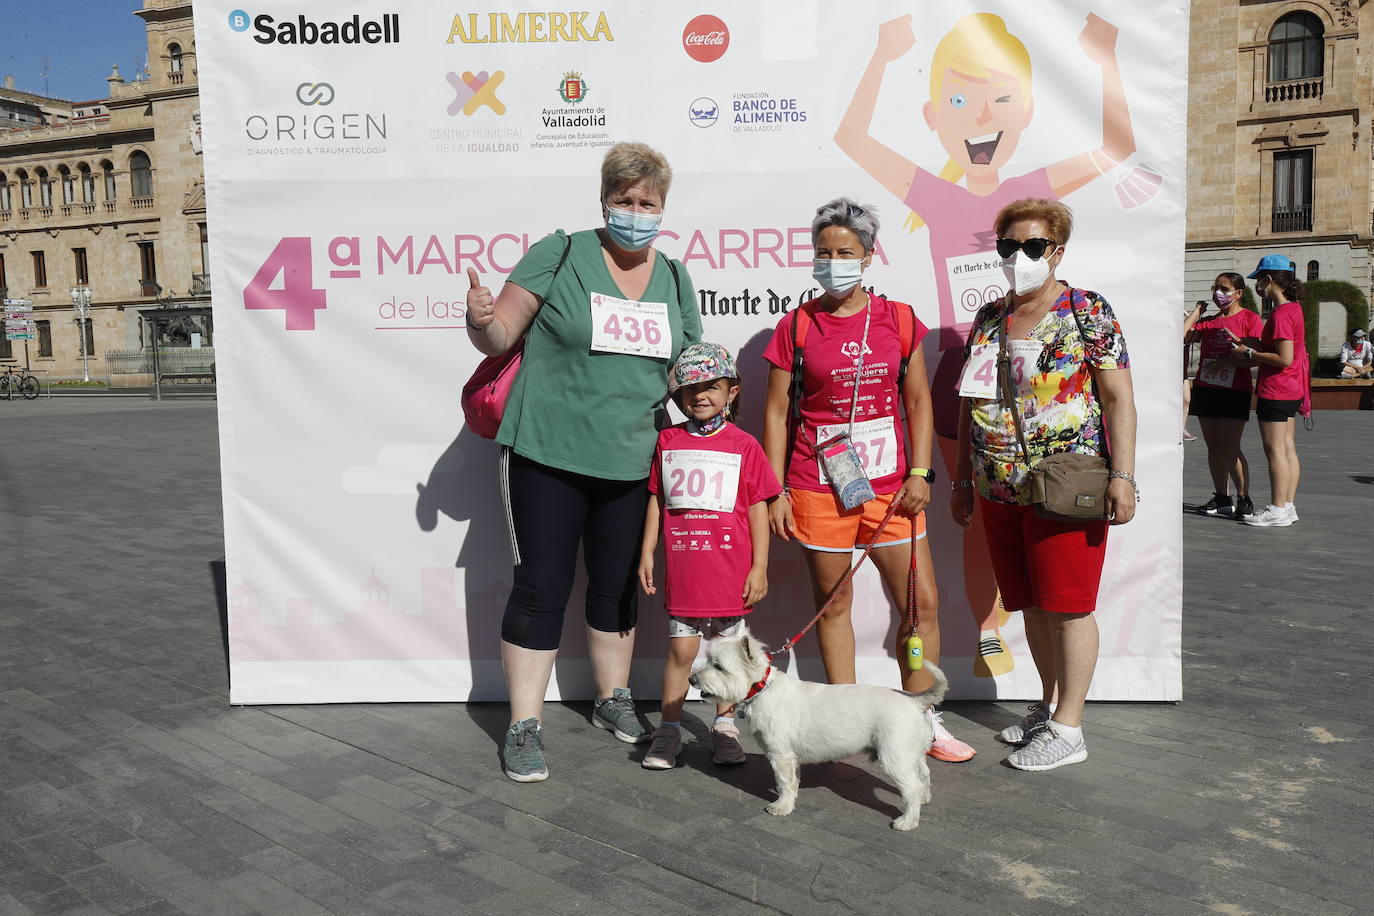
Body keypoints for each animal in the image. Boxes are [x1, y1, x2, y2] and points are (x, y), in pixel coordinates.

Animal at [687, 623, 945, 829]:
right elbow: (792, 781)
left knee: (911, 787)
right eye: (708, 659)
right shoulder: (790, 758)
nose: (691, 679)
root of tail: (915, 701)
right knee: (924, 775)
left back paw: (907, 821)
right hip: (911, 753)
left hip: (894, 757)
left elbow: (784, 783)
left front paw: (781, 807)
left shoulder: (780, 754)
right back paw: (925, 798)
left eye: (719, 666)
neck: (762, 689)